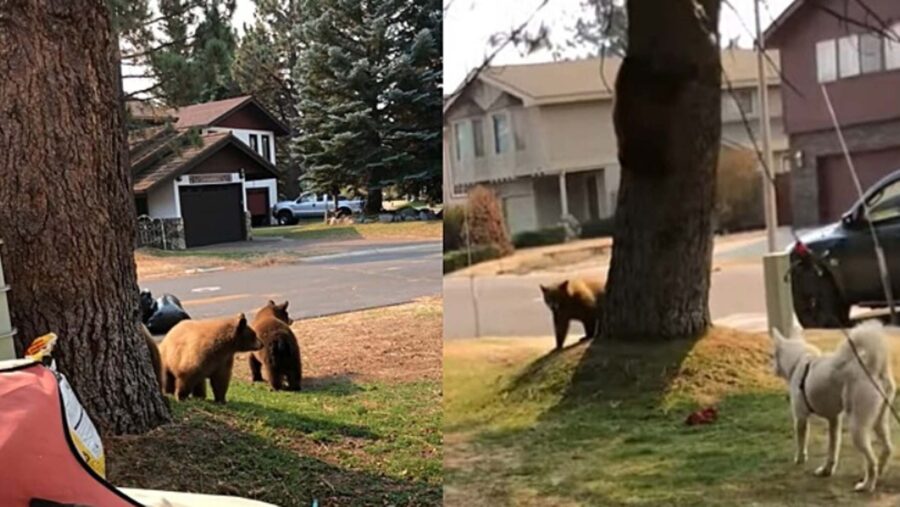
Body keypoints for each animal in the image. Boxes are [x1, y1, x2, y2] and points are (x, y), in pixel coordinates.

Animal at [768, 322, 896, 492]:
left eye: (773, 355)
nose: (771, 368)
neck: (799, 360)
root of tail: (873, 368)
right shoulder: (834, 420)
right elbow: (833, 449)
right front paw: (826, 470)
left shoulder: (801, 418)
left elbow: (801, 442)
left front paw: (800, 459)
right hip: (878, 421)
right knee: (888, 448)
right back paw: (879, 472)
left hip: (857, 427)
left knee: (871, 461)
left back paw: (867, 484)